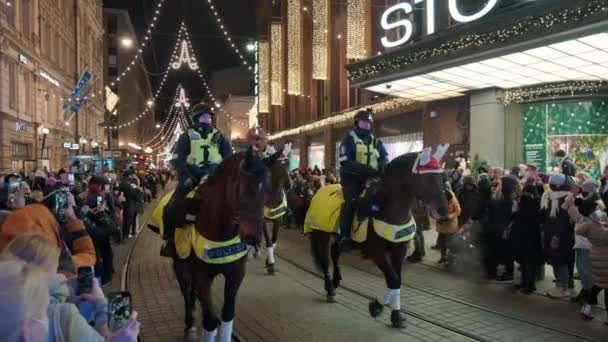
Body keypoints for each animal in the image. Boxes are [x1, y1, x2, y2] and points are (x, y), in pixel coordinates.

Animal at [308, 149, 446, 328]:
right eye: (427, 177)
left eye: (442, 176)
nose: (443, 209)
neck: (388, 209)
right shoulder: (377, 252)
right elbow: (393, 280)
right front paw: (377, 307)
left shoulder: (399, 249)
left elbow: (397, 280)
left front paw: (396, 315)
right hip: (321, 235)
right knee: (325, 260)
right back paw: (330, 289)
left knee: (335, 252)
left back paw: (336, 280)